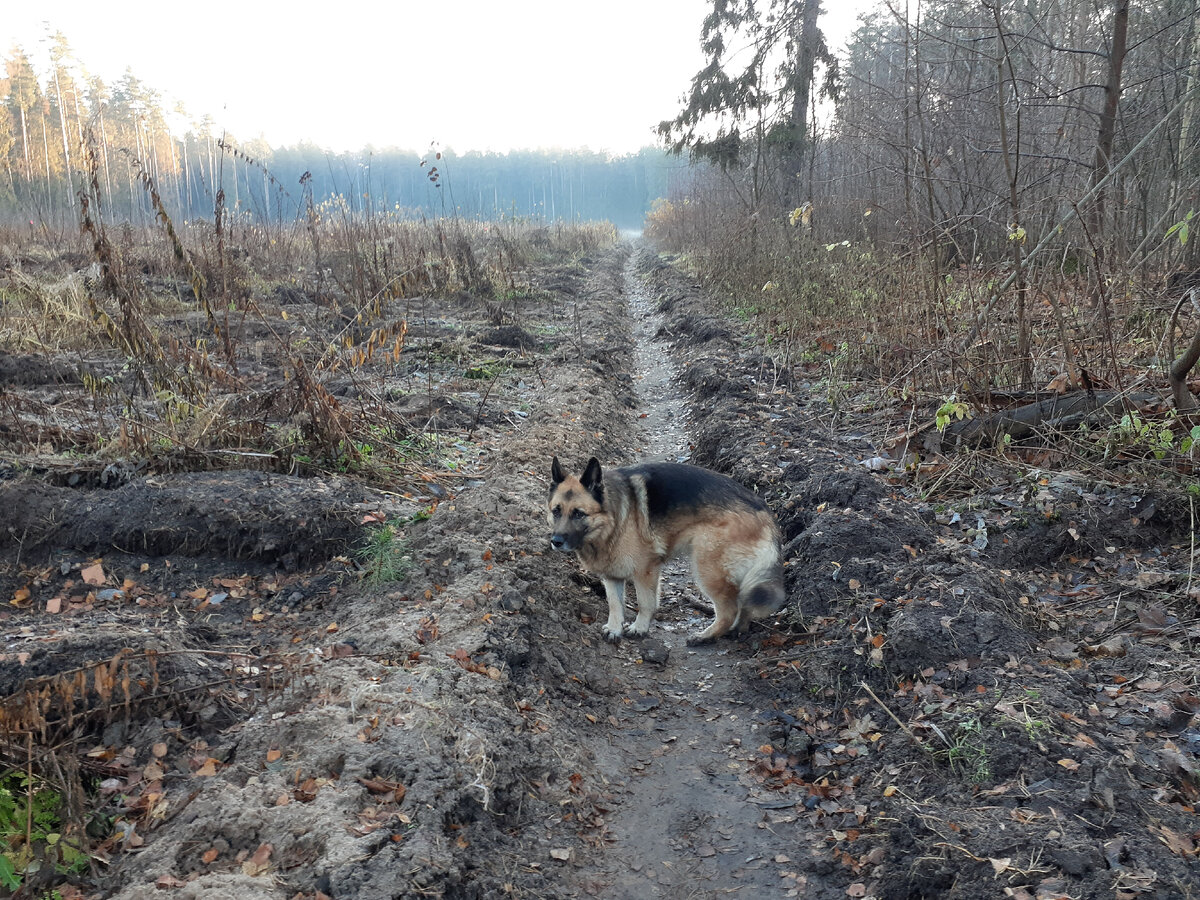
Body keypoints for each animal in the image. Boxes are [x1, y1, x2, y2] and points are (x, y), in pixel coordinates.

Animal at [547, 460, 787, 643]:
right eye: (556, 511)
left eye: (579, 513)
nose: (556, 541)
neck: (614, 519)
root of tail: (764, 510)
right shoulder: (612, 575)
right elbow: (615, 604)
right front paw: (615, 628)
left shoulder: (645, 572)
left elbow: (645, 604)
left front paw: (640, 628)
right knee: (741, 602)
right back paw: (736, 630)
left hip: (707, 569)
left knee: (729, 610)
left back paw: (706, 636)